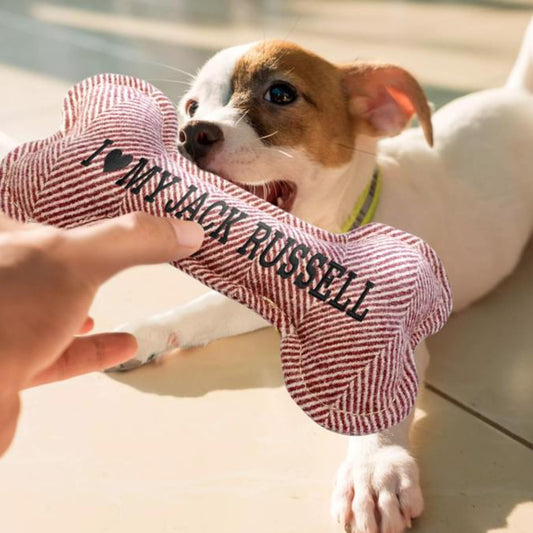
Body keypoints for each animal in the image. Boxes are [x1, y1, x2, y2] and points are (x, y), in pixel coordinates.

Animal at [111, 20, 528, 533]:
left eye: (280, 93)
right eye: (191, 106)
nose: (189, 134)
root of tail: (517, 96)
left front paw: (374, 470)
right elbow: (198, 312)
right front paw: (143, 333)